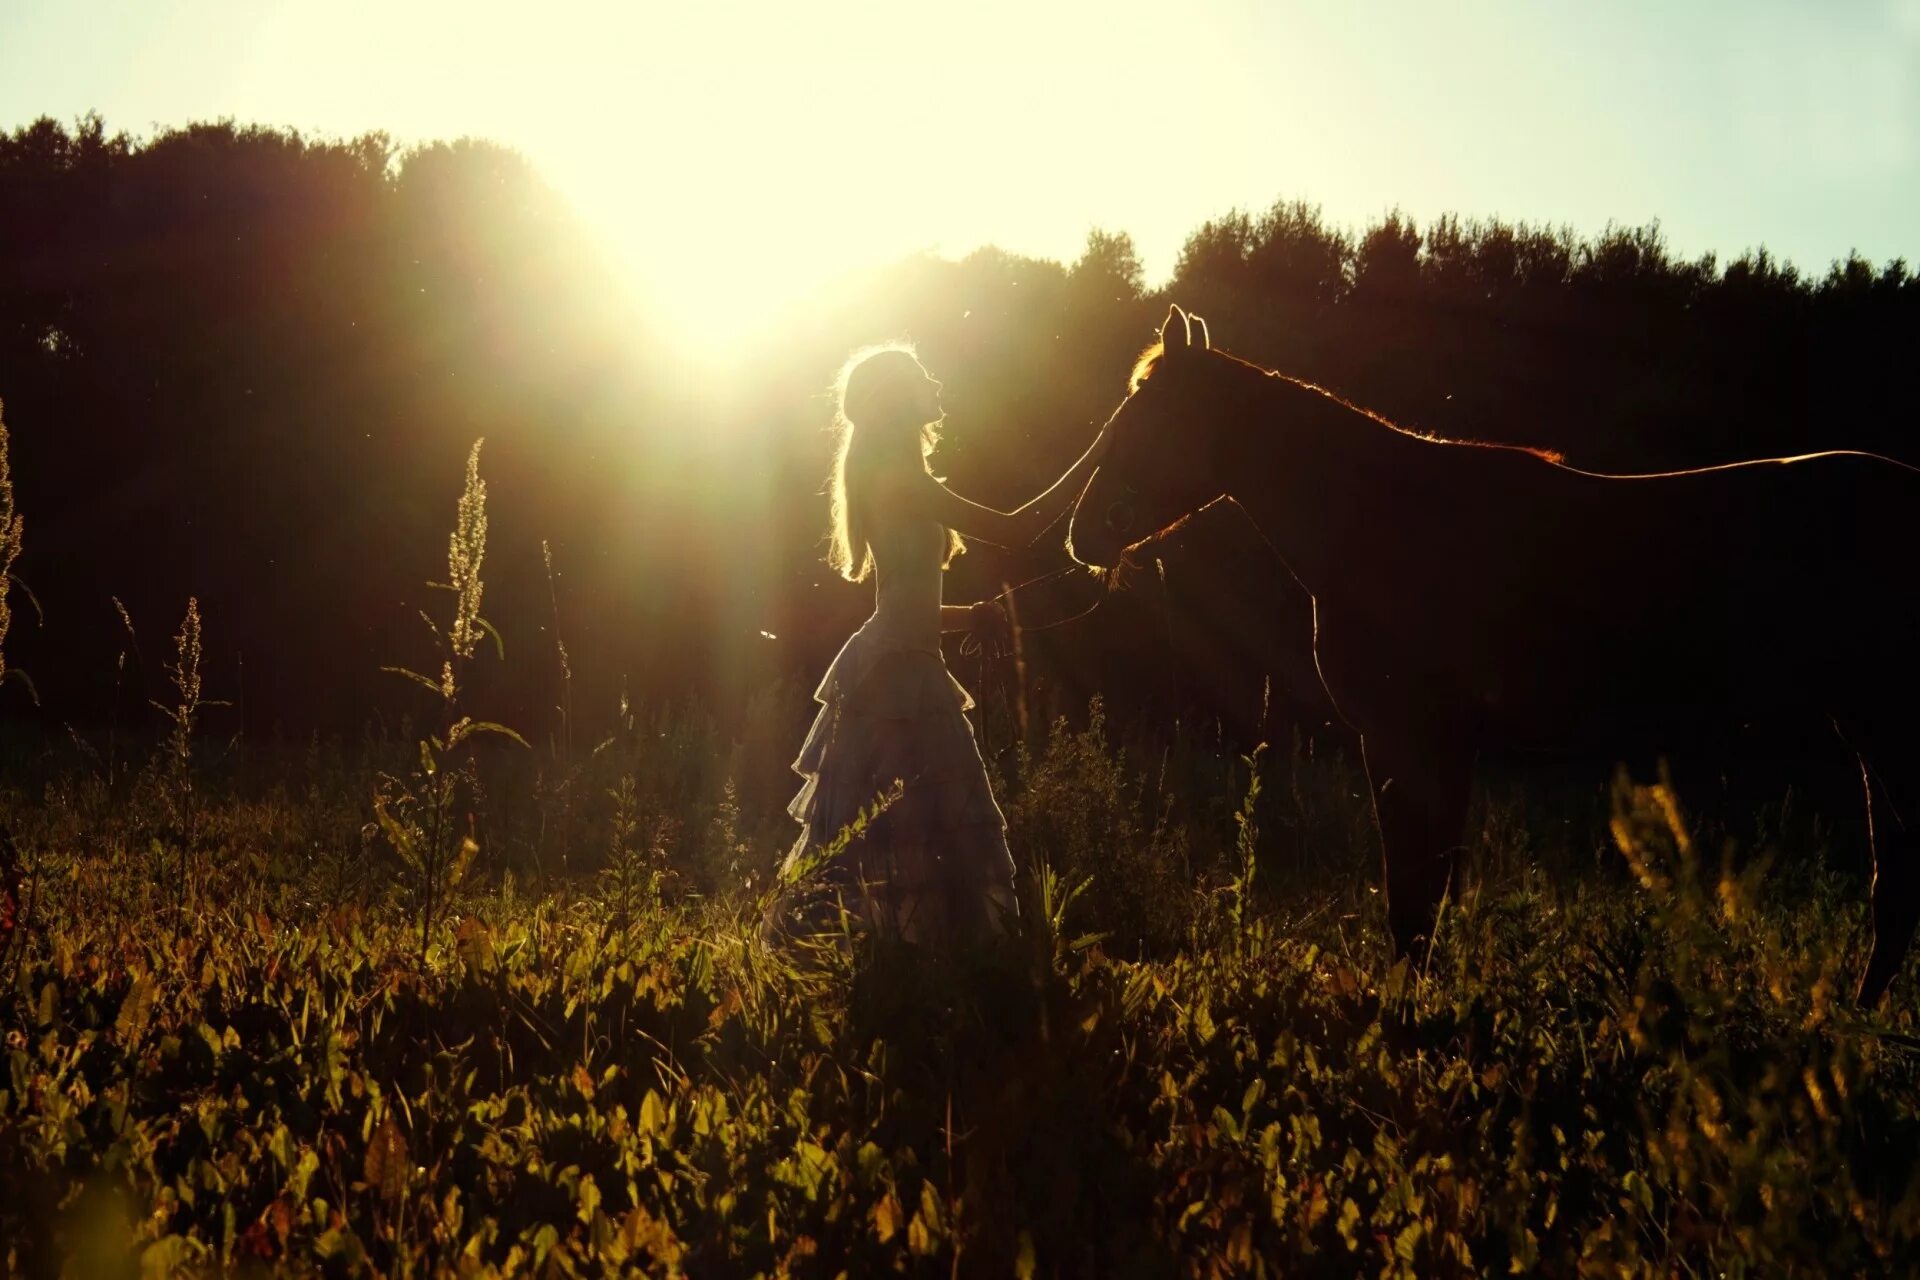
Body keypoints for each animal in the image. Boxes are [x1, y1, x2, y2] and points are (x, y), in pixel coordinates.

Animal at [1067, 305, 1920, 1005]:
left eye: (1144, 419)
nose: (1084, 534)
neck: (1382, 522)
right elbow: (1422, 891)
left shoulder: (1412, 741)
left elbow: (1414, 896)